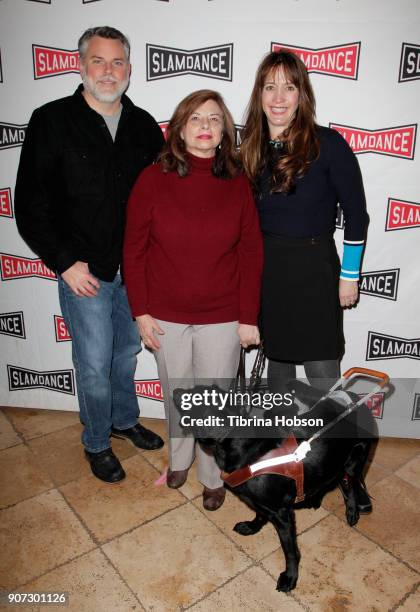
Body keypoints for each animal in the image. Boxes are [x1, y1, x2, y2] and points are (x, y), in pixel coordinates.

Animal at [172, 382, 376, 592]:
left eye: (197, 397)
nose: (175, 391)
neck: (245, 449)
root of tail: (354, 398)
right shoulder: (263, 504)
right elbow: (260, 514)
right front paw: (252, 527)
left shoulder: (282, 515)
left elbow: (291, 551)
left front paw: (290, 577)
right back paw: (315, 498)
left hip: (355, 461)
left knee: (350, 483)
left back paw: (352, 512)